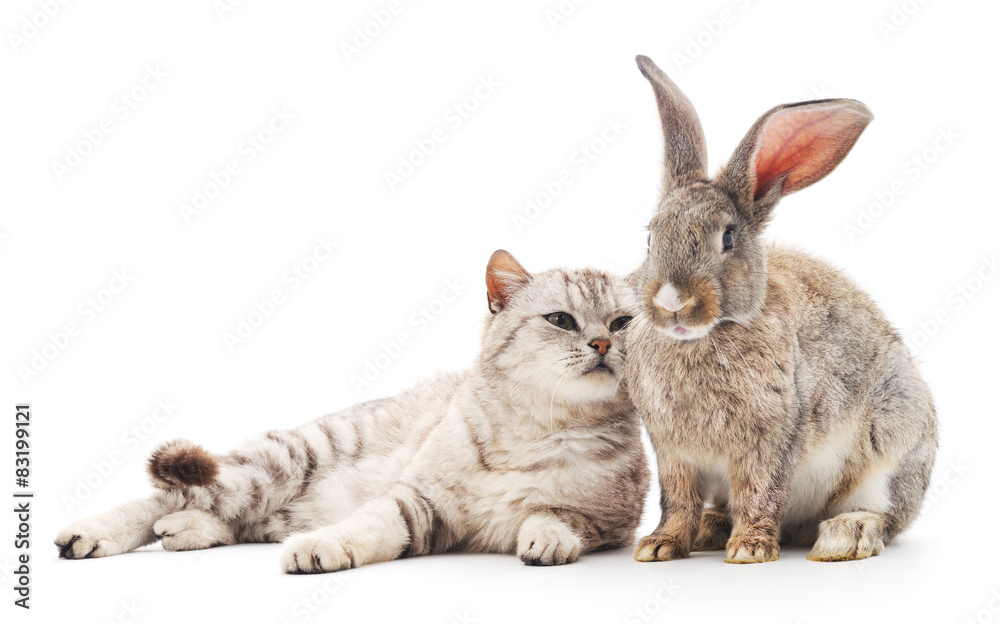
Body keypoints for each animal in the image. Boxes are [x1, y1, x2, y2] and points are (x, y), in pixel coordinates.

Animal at [623, 55, 937, 564]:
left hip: (892, 443)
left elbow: (759, 492)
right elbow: (677, 500)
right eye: (651, 236)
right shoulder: (673, 453)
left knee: (885, 517)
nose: (672, 302)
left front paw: (749, 550)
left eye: (728, 238)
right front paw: (660, 545)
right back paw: (711, 528)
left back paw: (843, 536)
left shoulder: (770, 440)